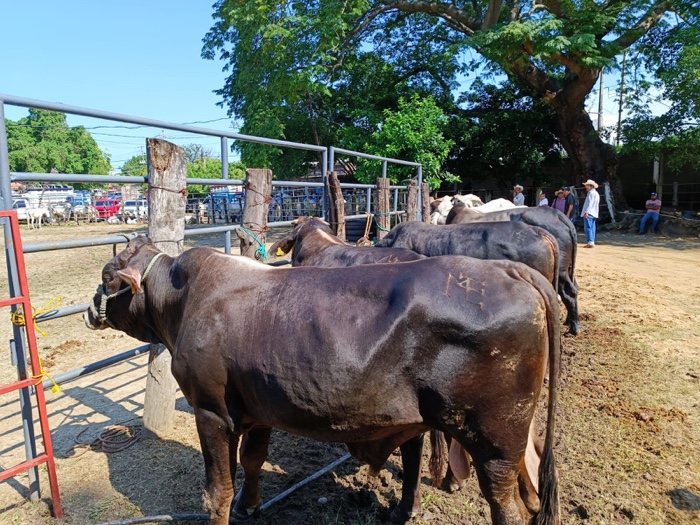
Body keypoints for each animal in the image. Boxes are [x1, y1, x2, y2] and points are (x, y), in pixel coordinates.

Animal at [84, 237, 560, 525]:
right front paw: (251, 504)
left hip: (494, 439)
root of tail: (510, 270)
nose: (90, 309)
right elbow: (253, 460)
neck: (184, 302)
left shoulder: (211, 411)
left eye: (108, 276)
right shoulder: (259, 407)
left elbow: (216, 490)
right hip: (499, 433)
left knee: (505, 504)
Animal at [446, 203, 580, 336]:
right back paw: (570, 322)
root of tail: (557, 214)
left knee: (569, 292)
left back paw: (574, 328)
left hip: (561, 271)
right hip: (568, 268)